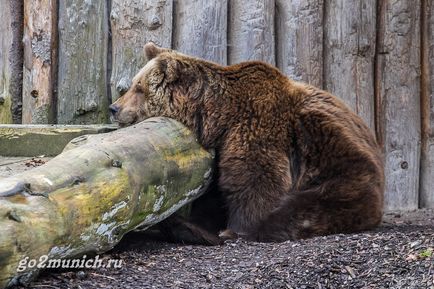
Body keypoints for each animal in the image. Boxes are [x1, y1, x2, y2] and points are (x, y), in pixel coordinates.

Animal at [110, 41, 384, 242]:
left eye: (138, 88)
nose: (114, 108)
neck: (217, 115)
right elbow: (213, 197)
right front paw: (196, 225)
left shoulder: (257, 125)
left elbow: (254, 179)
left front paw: (234, 228)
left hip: (343, 172)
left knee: (304, 208)